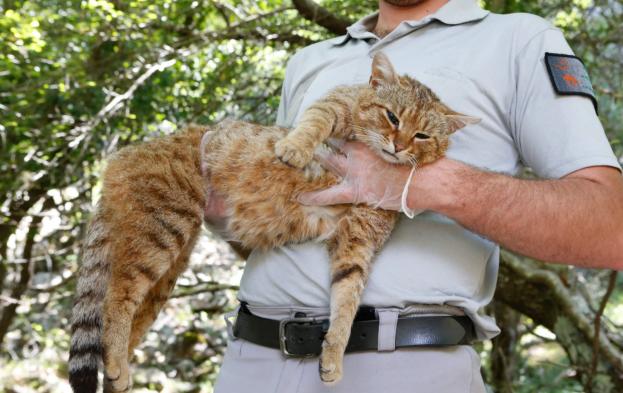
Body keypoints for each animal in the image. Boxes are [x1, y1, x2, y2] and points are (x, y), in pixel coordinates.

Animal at [67, 52, 478, 392]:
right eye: (392, 116)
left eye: (422, 135)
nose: (399, 146)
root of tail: (124, 155)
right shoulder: (339, 103)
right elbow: (316, 121)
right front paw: (294, 148)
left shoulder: (357, 240)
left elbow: (347, 298)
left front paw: (332, 354)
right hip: (162, 229)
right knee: (116, 299)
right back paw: (117, 363)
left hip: (168, 264)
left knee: (127, 315)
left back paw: (118, 370)